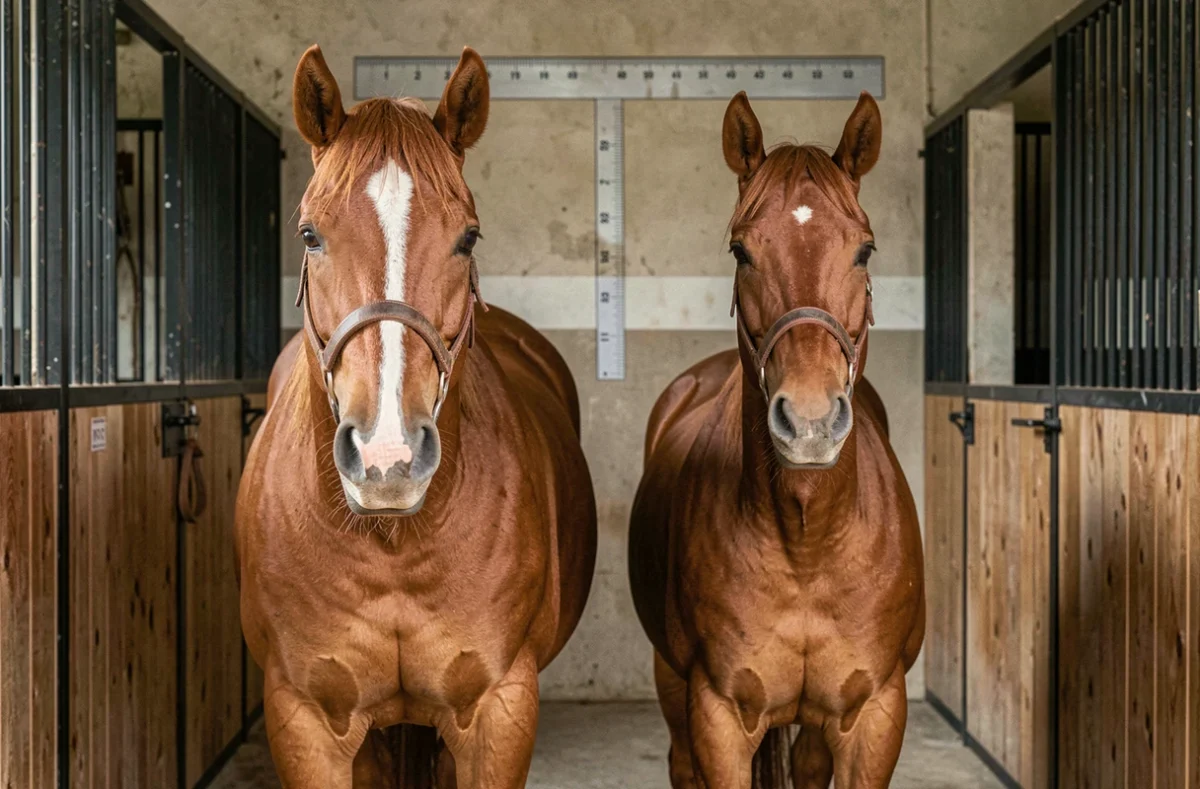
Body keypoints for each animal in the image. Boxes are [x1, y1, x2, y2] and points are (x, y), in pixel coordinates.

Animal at [236, 45, 597, 788]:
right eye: (309, 234)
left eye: (469, 237)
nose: (388, 457)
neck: (393, 545)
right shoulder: (304, 720)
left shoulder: (499, 713)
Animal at [627, 91, 925, 789]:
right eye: (742, 251)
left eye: (865, 250)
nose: (811, 422)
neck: (807, 544)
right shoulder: (718, 716)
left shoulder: (875, 715)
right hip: (671, 686)